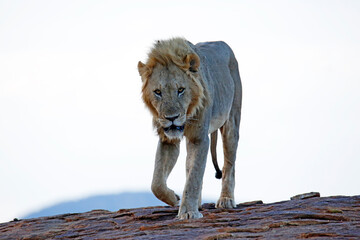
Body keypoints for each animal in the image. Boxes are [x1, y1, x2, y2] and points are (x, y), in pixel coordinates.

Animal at [138, 38, 242, 219]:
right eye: (157, 92)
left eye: (181, 90)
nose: (171, 118)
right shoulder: (168, 139)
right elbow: (156, 182)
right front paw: (174, 198)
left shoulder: (199, 138)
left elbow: (194, 176)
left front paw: (188, 212)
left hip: (232, 122)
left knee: (229, 165)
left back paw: (226, 200)